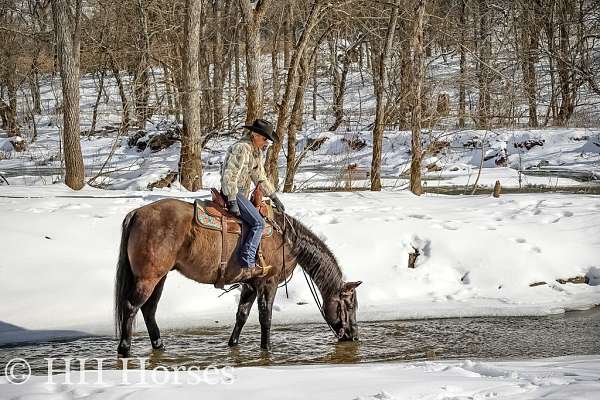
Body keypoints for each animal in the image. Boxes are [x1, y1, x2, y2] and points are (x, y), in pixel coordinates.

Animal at [115, 198, 364, 358]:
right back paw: (125, 349)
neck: (288, 239)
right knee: (131, 306)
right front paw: (267, 349)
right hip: (148, 277)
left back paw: (159, 346)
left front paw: (233, 345)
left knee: (149, 310)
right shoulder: (269, 282)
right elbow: (266, 318)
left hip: (160, 277)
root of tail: (137, 213)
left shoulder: (250, 284)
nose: (353, 336)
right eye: (350, 305)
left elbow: (241, 315)